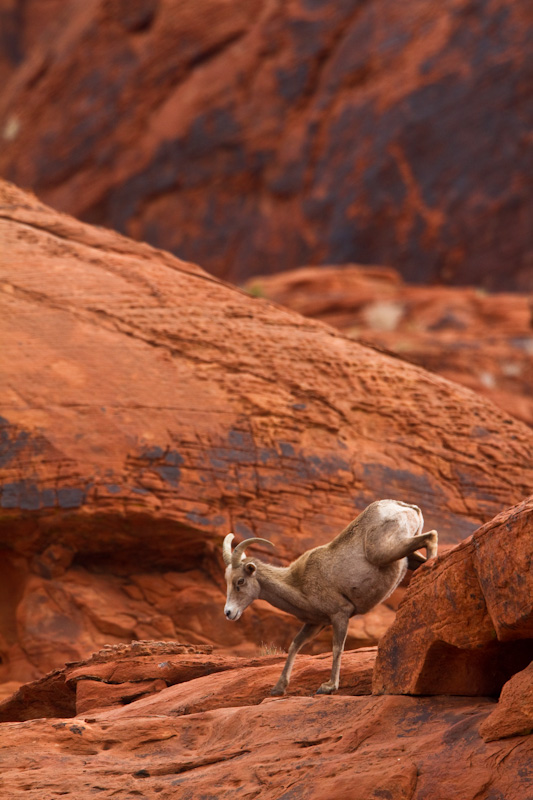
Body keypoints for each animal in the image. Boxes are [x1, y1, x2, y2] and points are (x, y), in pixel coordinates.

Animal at [223, 500, 436, 692]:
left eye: (240, 581)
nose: (228, 613)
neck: (299, 585)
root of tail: (405, 507)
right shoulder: (315, 623)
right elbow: (294, 645)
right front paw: (278, 688)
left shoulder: (340, 614)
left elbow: (336, 648)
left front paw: (329, 687)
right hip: (406, 555)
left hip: (384, 551)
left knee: (431, 537)